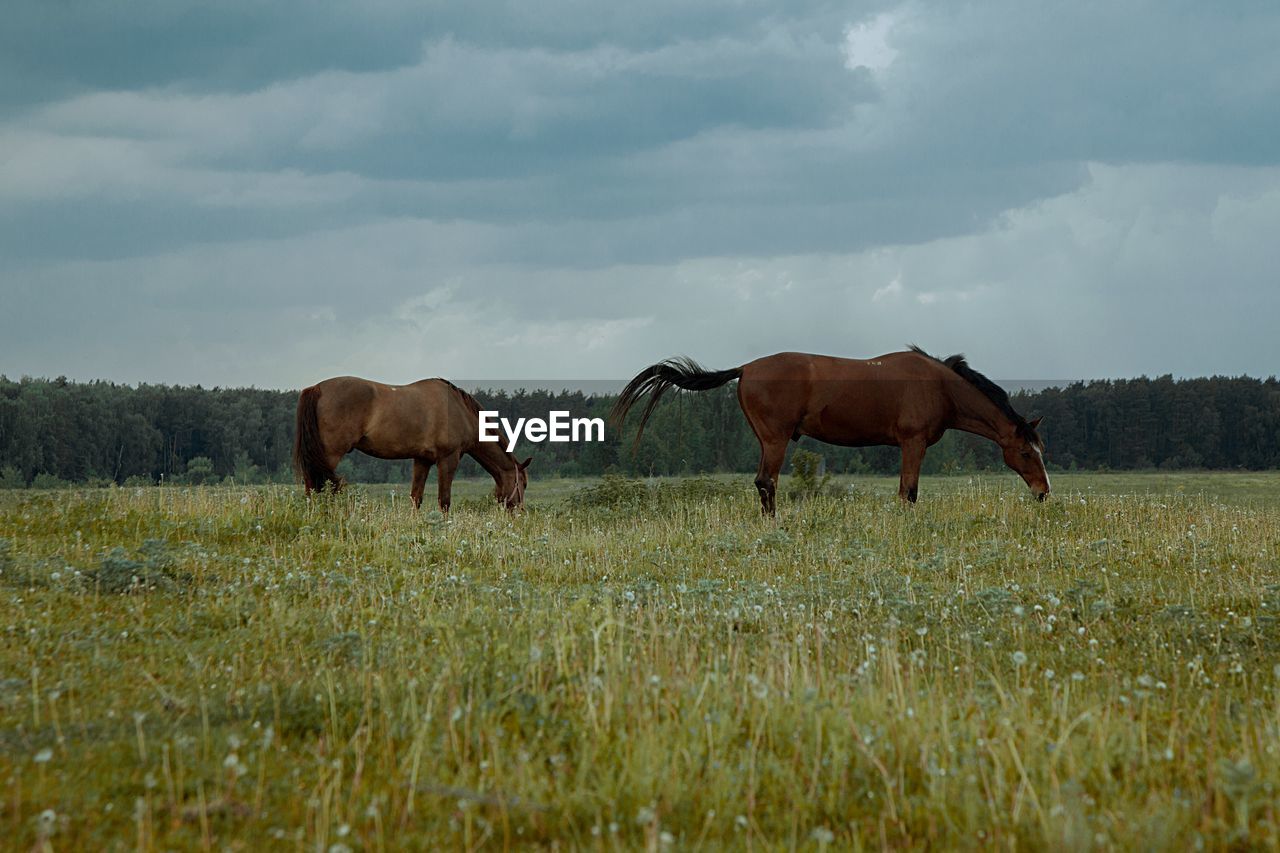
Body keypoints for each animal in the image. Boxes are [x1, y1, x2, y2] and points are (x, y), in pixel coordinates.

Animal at [293, 379, 527, 512]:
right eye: (523, 484)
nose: (518, 512)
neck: (460, 411)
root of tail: (317, 388)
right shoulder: (448, 459)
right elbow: (444, 500)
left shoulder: (422, 460)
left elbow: (416, 497)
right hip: (330, 454)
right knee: (316, 487)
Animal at [611, 343, 1049, 512]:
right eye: (1026, 452)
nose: (1044, 493)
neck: (939, 385)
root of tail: (745, 368)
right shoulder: (914, 443)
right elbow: (908, 492)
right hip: (775, 439)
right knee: (766, 482)